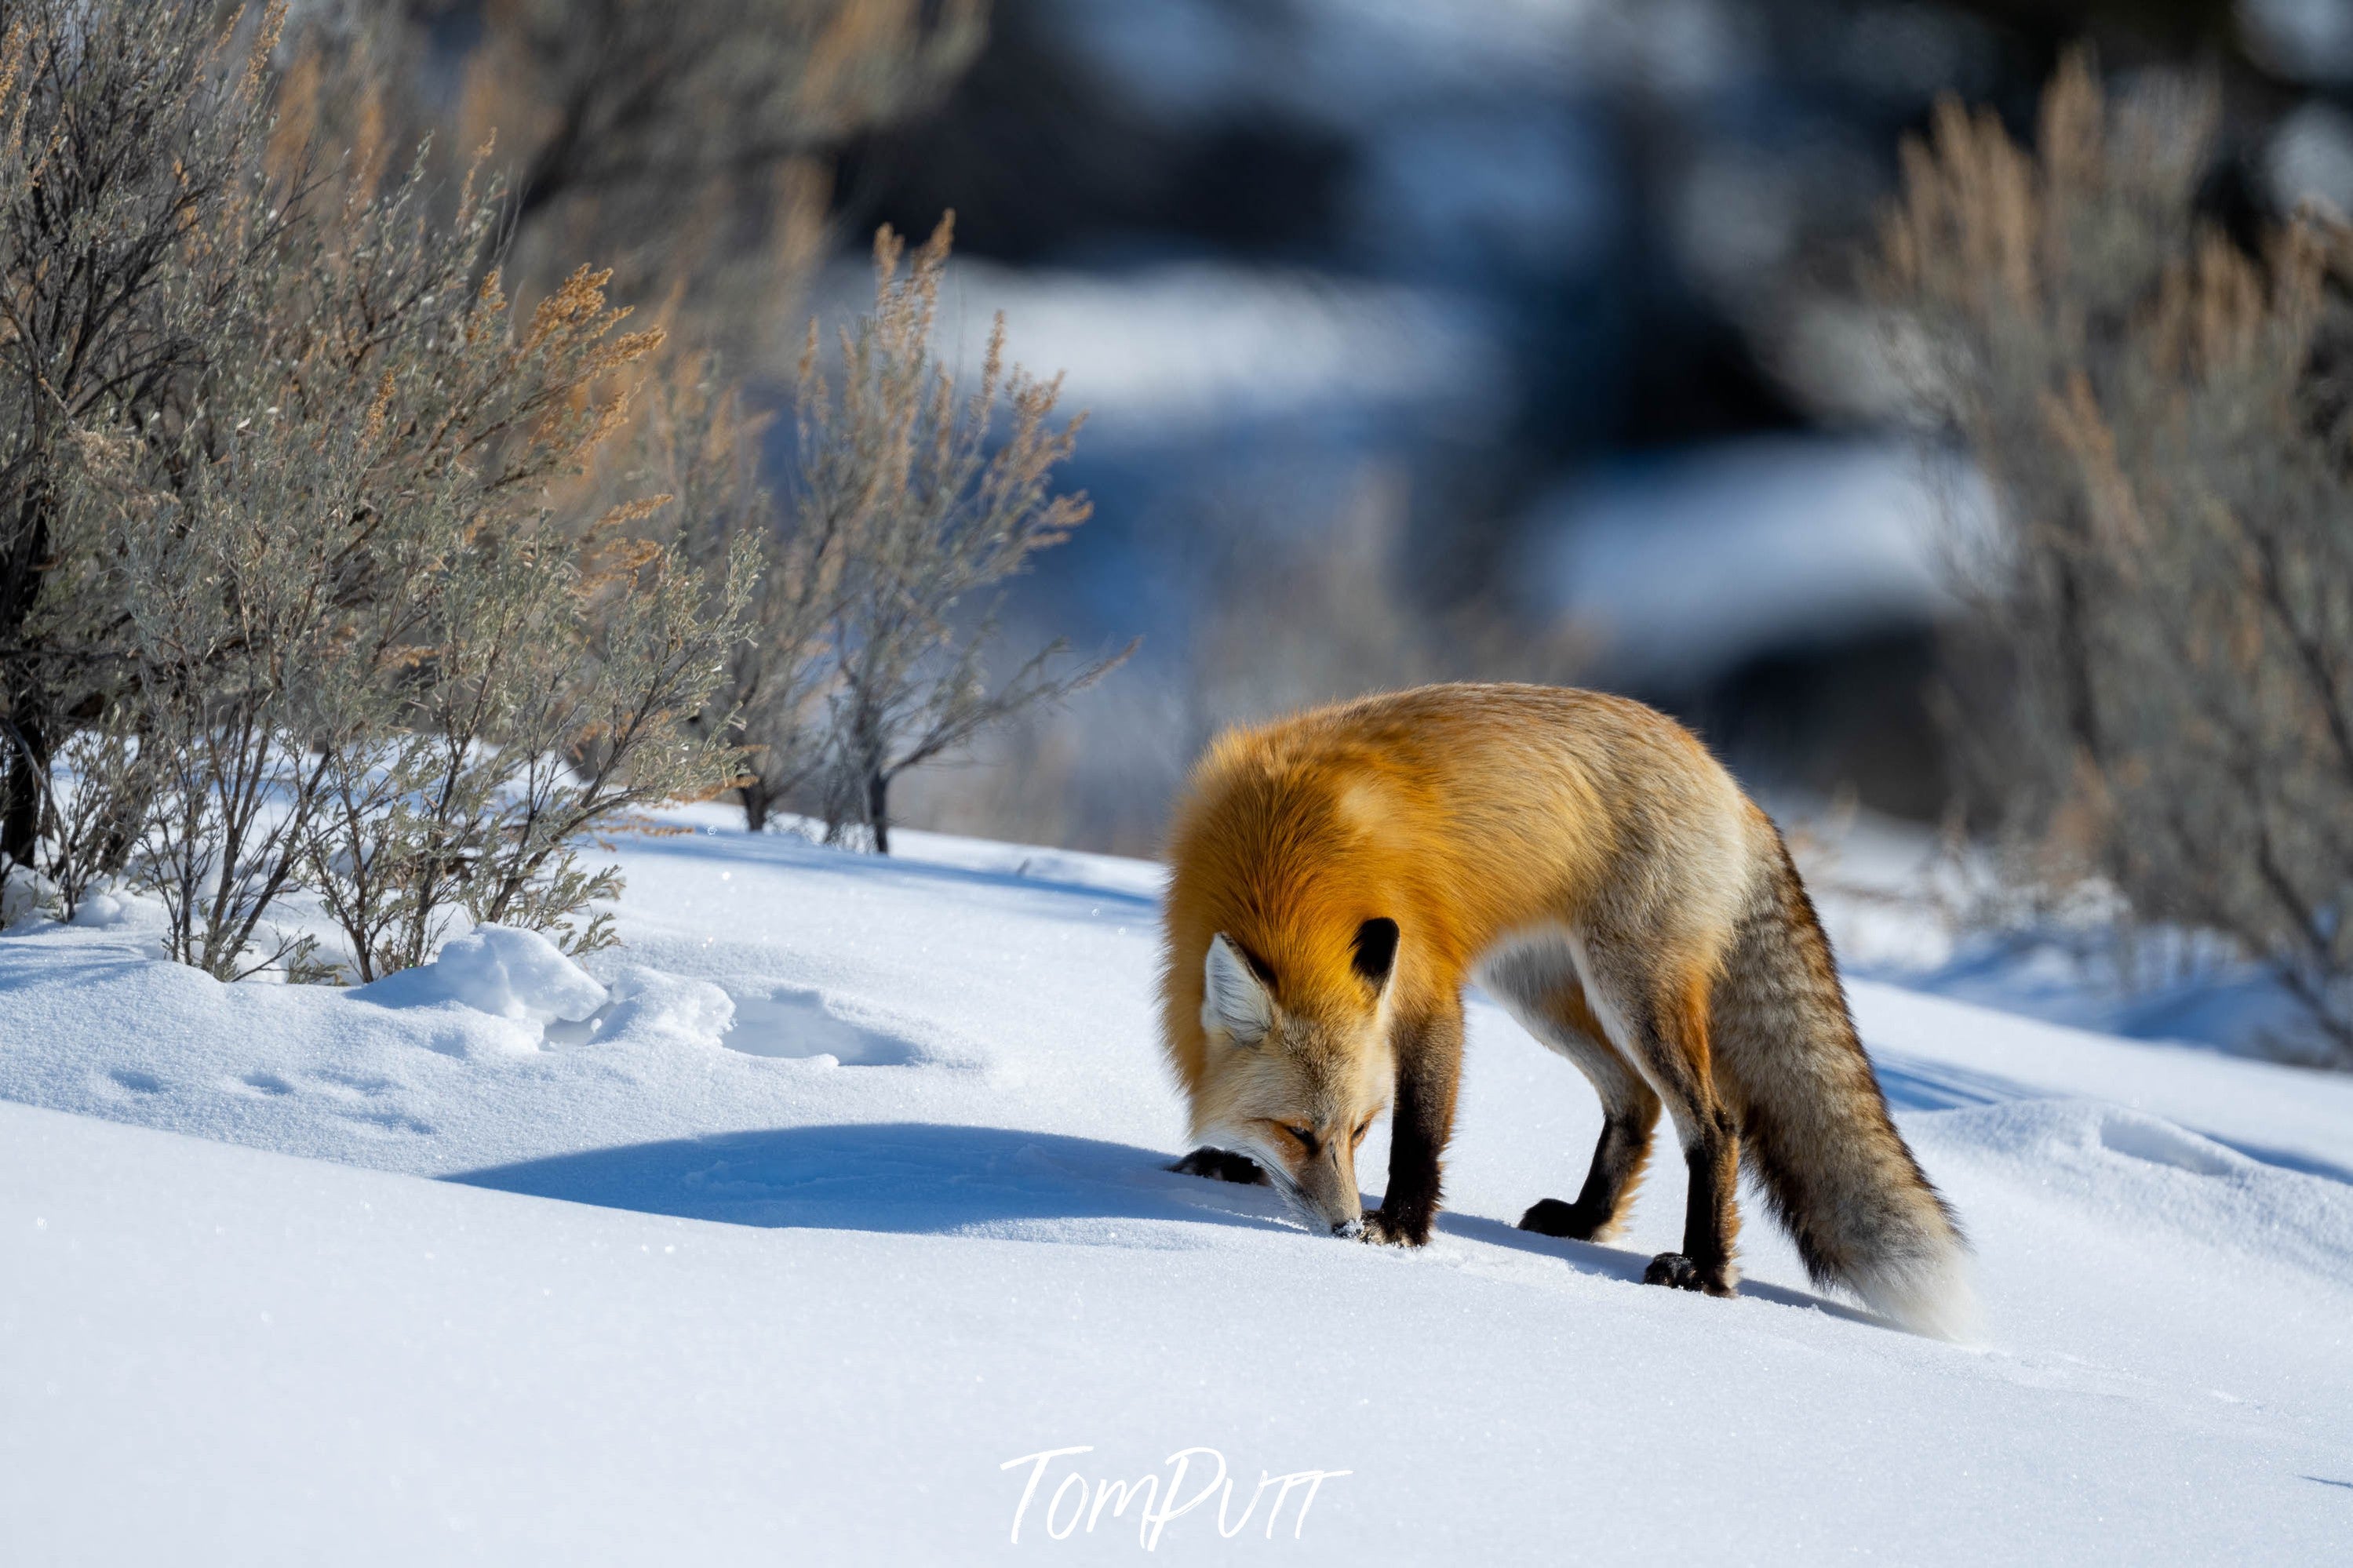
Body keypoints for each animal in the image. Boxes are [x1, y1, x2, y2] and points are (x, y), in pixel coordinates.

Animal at [1153, 682, 1967, 1335]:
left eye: (1357, 1129)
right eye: (1296, 1131)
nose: (1345, 1226)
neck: (1287, 859)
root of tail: (1730, 783)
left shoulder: (1428, 987)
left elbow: (1421, 1133)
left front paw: (1403, 1228)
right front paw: (1231, 1161)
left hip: (1631, 989)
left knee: (1711, 1121)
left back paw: (1703, 1270)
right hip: (1543, 995)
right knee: (1635, 1101)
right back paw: (1587, 1219)